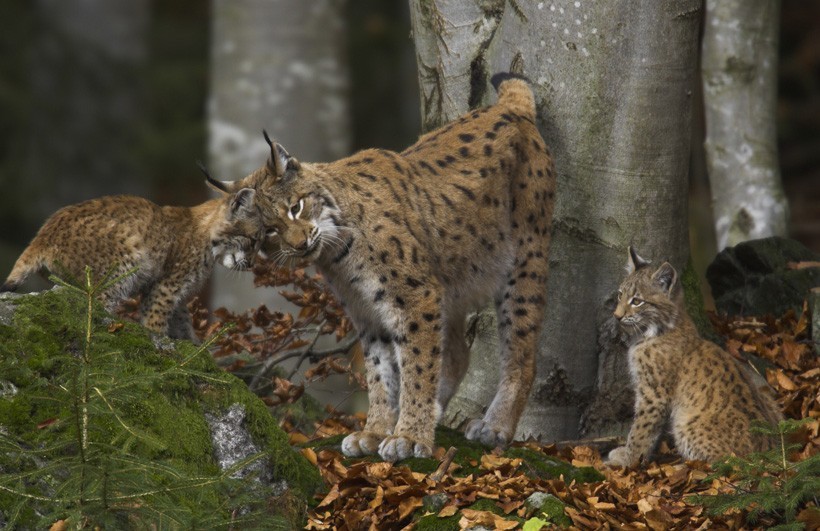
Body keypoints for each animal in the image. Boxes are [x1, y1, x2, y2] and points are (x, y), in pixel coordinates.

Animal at [0, 177, 262, 338]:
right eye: (253, 240)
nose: (251, 264)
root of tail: (43, 234)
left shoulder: (171, 292)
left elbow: (182, 321)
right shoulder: (165, 287)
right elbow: (156, 321)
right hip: (125, 257)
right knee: (92, 310)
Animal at [215, 72, 556, 464]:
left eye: (295, 207)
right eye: (268, 231)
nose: (300, 245)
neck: (337, 250)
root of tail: (506, 109)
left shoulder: (416, 296)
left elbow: (417, 365)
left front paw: (408, 435)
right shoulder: (366, 309)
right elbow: (381, 372)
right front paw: (378, 429)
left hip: (525, 262)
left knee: (523, 354)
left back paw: (495, 426)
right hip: (451, 280)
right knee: (457, 354)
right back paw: (434, 413)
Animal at [604, 247, 784, 468]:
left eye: (637, 301)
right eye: (620, 295)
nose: (617, 316)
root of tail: (769, 453)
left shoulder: (654, 395)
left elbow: (641, 430)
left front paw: (628, 461)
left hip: (686, 422)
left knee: (728, 463)